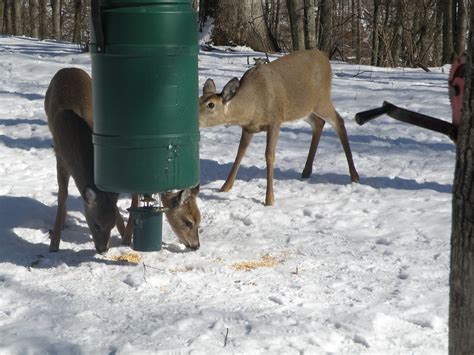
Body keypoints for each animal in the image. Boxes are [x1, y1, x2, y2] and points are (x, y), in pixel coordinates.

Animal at [44, 67, 200, 253]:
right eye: (188, 222)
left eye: (199, 220)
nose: (196, 245)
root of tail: (68, 68)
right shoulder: (60, 158)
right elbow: (63, 194)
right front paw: (54, 242)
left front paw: (124, 235)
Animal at [199, 49, 360, 206]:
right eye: (199, 99)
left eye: (211, 105)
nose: (196, 119)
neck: (252, 104)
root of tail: (325, 59)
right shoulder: (248, 128)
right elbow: (240, 153)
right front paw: (225, 187)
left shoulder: (275, 121)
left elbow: (269, 155)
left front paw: (269, 199)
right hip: (302, 109)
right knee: (319, 123)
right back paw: (306, 171)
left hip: (322, 100)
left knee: (339, 121)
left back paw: (354, 176)